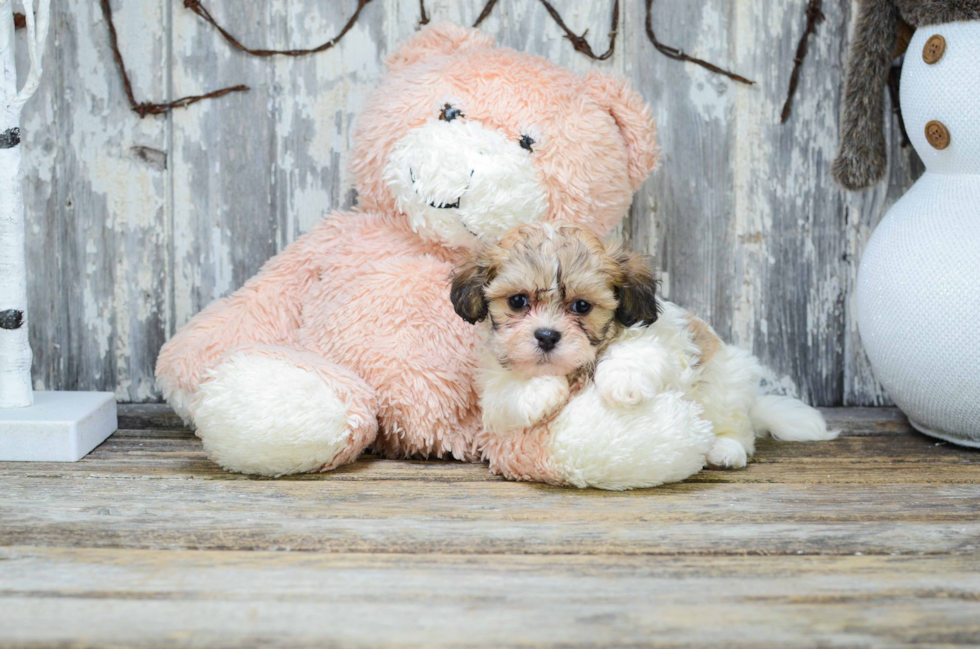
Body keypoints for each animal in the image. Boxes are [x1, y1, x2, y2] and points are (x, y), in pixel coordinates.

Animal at [450, 223, 836, 476]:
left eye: (581, 306)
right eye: (517, 301)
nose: (546, 336)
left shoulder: (654, 337)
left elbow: (632, 351)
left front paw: (622, 384)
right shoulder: (491, 381)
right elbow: (507, 391)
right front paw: (540, 390)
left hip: (725, 382)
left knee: (737, 428)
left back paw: (725, 450)